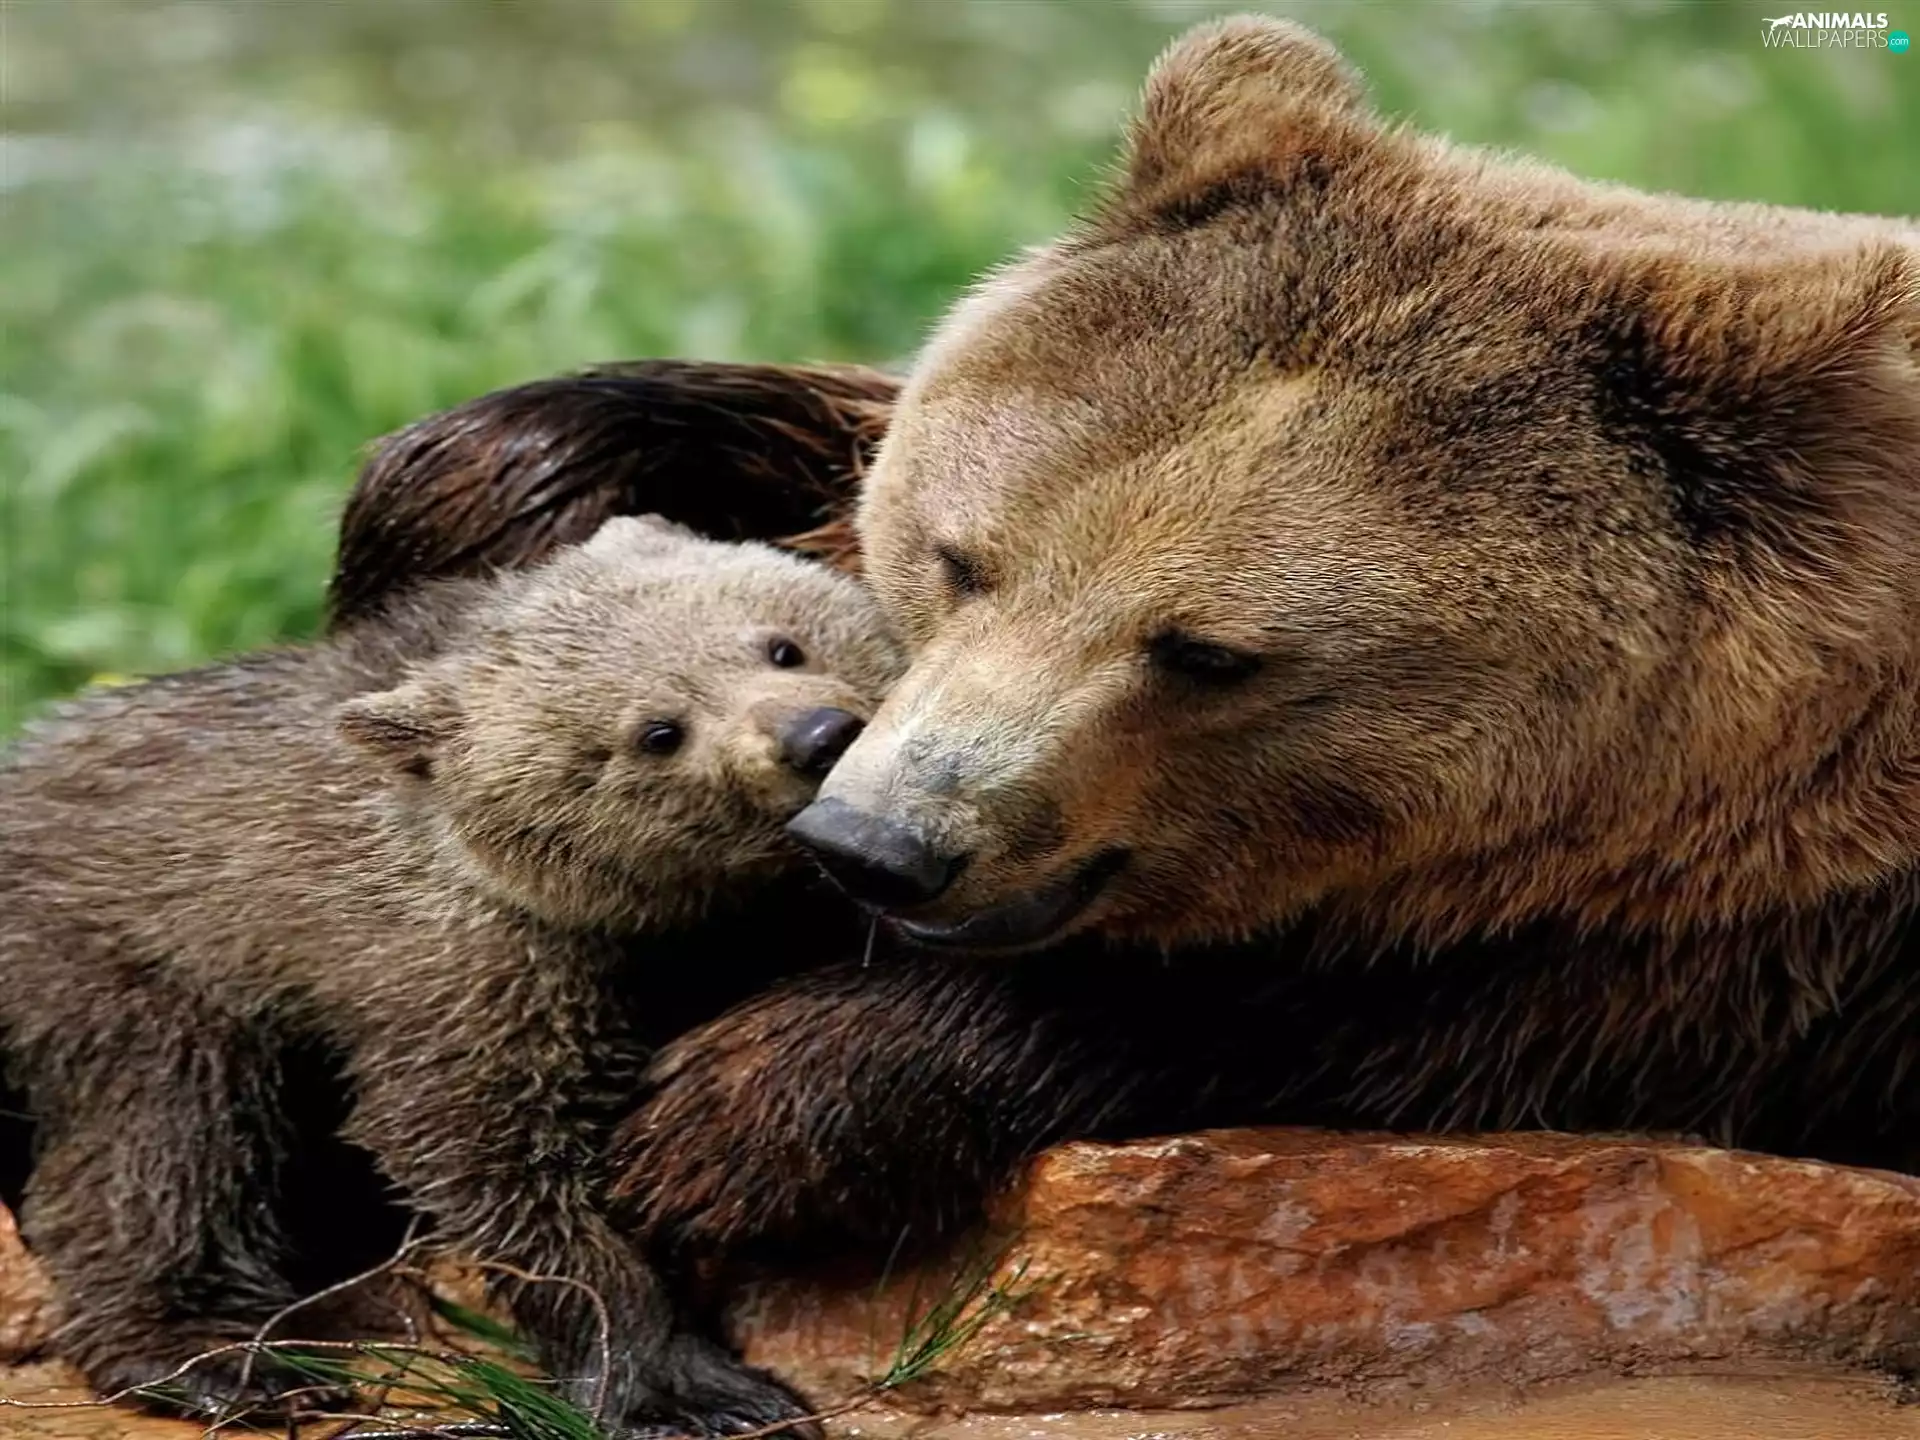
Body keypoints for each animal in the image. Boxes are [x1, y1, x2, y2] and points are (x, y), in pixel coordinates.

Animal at [0, 512, 899, 1434]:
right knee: (163, 1141)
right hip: (125, 962)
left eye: (781, 643)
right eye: (657, 732)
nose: (817, 735)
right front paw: (684, 1386)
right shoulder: (467, 970)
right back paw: (223, 1357)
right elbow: (500, 1160)